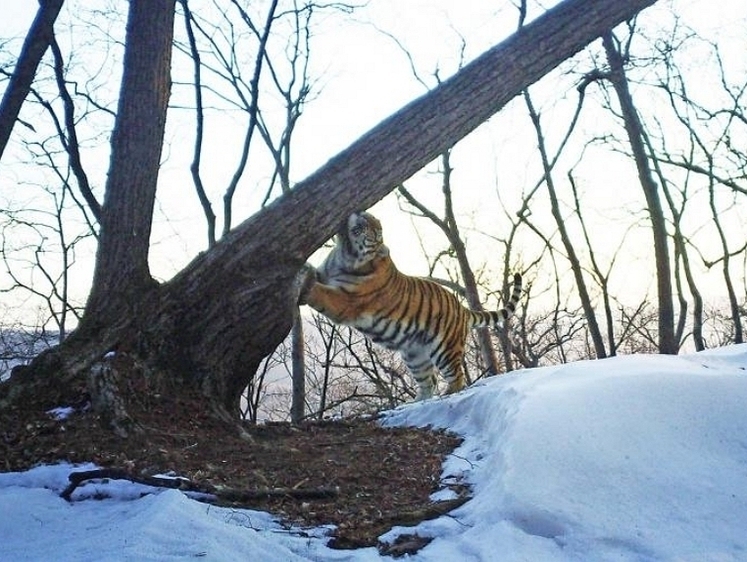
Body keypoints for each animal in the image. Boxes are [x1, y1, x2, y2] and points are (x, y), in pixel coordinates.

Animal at [300, 209, 524, 398]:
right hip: (415, 355)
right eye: (370, 219)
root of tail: (462, 308)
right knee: (428, 381)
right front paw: (304, 269)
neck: (344, 254)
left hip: (445, 348)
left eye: (375, 229)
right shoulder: (326, 273)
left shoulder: (346, 301)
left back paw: (448, 393)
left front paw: (303, 284)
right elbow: (317, 275)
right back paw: (415, 402)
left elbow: (322, 293)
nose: (360, 212)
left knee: (456, 375)